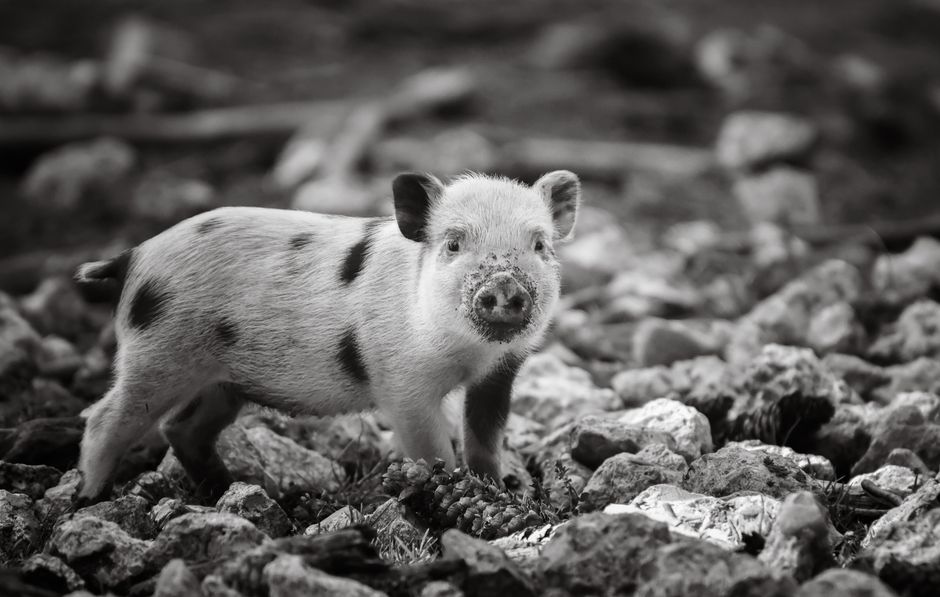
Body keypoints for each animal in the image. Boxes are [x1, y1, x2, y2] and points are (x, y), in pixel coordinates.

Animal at [73, 170, 581, 503]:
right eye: (453, 244)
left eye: (540, 245)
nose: (505, 284)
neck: (470, 354)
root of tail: (133, 257)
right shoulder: (401, 383)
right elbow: (433, 448)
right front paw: (448, 489)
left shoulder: (501, 374)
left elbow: (485, 438)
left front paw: (496, 491)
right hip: (156, 354)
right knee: (104, 417)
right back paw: (90, 500)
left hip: (222, 381)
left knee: (181, 428)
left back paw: (231, 489)